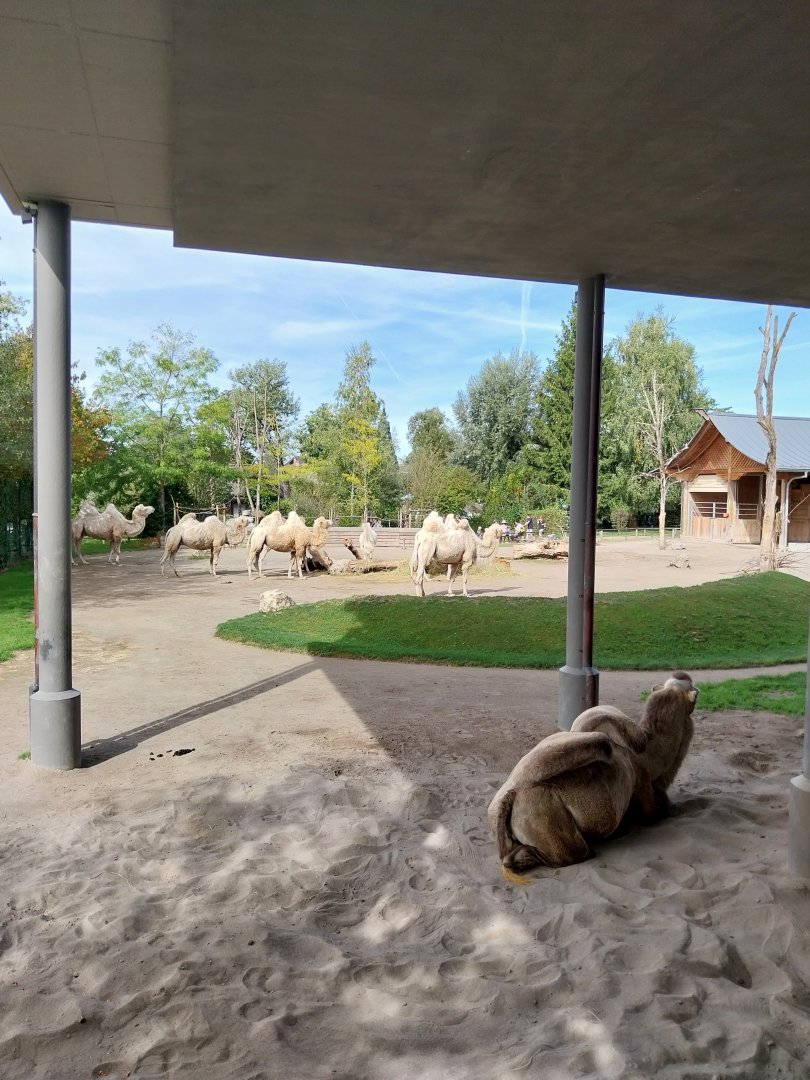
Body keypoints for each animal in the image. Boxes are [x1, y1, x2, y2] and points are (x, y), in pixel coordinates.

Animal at [488, 672, 698, 884]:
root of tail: (510, 797)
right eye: (695, 692)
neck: (650, 759)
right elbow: (658, 811)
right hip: (545, 816)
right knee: (573, 853)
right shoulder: (644, 790)